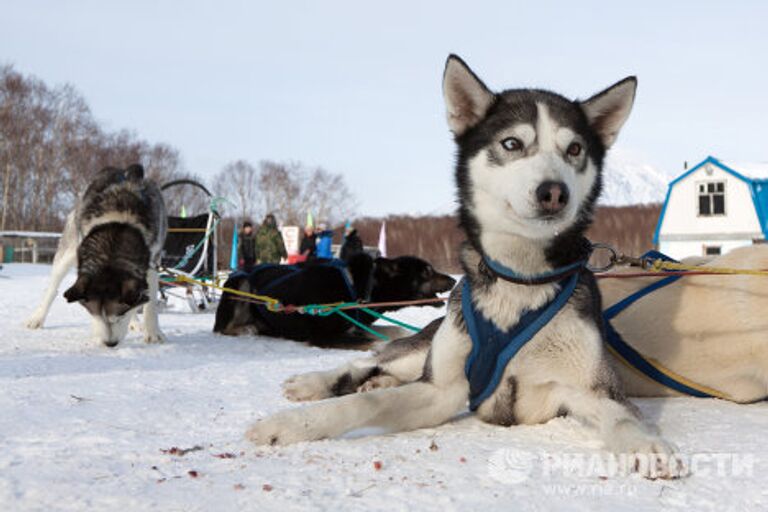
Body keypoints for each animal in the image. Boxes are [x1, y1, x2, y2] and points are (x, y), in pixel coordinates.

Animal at [26, 165, 167, 348]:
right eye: (95, 312)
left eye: (121, 314)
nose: (110, 344)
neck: (119, 224)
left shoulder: (152, 264)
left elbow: (149, 304)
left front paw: (153, 333)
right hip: (66, 254)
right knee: (52, 289)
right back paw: (37, 318)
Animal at [246, 54, 684, 478]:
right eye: (512, 143)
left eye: (574, 149)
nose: (554, 192)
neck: (518, 280)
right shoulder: (439, 389)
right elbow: (358, 406)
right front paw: (290, 425)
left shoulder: (590, 389)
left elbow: (622, 417)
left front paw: (645, 444)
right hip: (422, 347)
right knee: (367, 361)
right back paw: (314, 382)